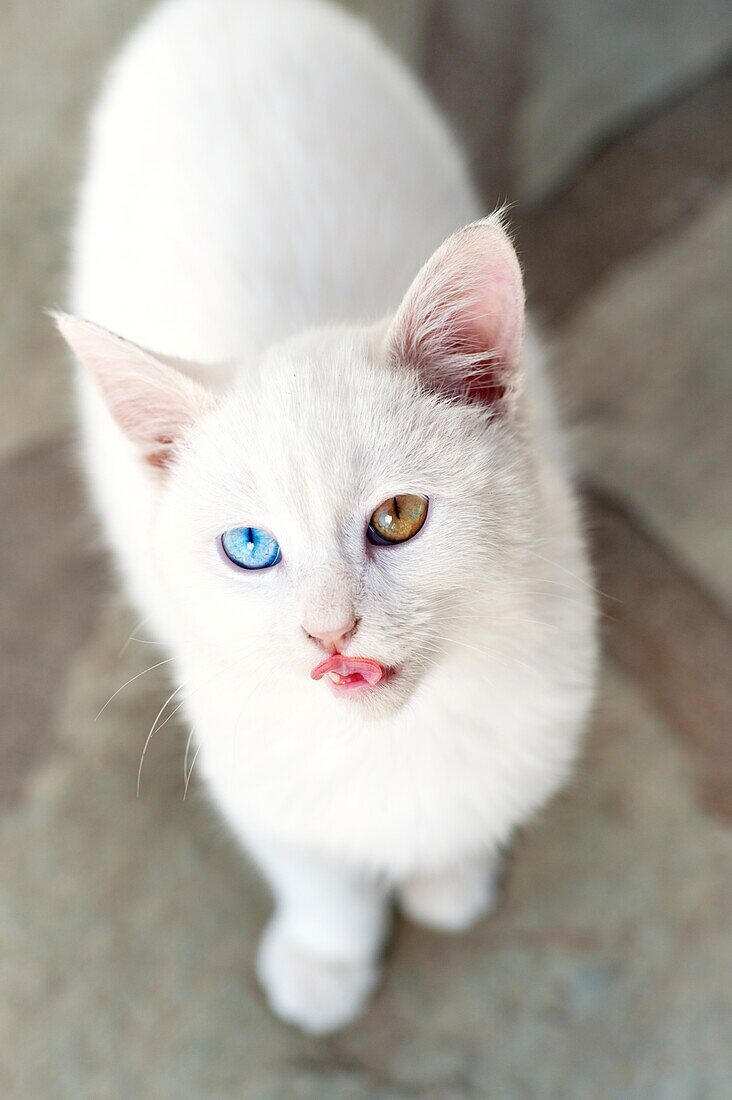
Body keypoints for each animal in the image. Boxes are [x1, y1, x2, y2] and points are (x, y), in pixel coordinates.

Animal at [55, 0, 594, 1034]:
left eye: (399, 516)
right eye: (249, 546)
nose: (328, 630)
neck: (393, 740)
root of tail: (219, 13)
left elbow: (471, 808)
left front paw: (448, 879)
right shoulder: (242, 742)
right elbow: (314, 871)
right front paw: (325, 959)